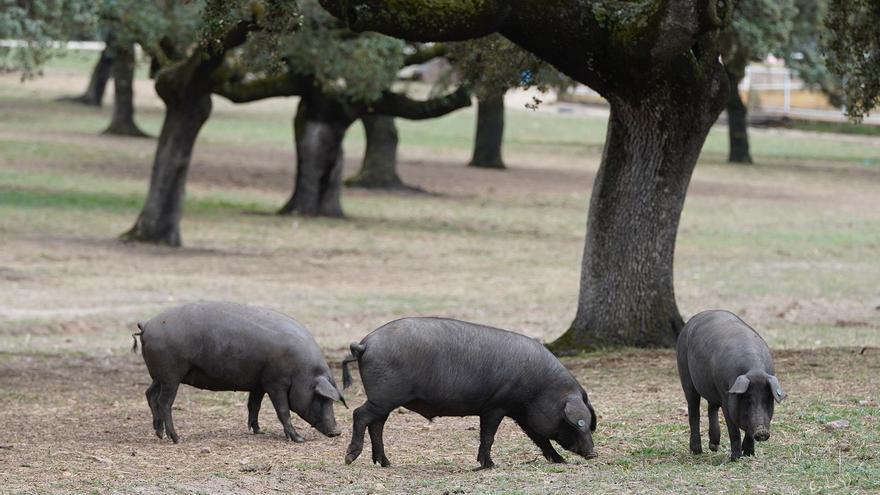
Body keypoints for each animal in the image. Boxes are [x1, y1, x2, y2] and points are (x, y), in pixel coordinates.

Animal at [134, 302, 344, 446]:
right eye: (320, 398)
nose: (337, 432)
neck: (302, 371)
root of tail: (146, 325)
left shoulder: (259, 383)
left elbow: (254, 405)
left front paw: (259, 431)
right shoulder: (276, 383)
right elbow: (282, 410)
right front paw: (299, 439)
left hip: (159, 376)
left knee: (149, 394)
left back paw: (159, 433)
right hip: (171, 376)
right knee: (164, 402)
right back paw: (177, 438)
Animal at [336, 318, 600, 468]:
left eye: (589, 423)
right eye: (576, 423)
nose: (593, 454)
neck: (539, 388)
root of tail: (365, 344)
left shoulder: (521, 414)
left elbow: (539, 438)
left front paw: (560, 461)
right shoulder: (496, 406)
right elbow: (489, 435)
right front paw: (489, 465)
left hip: (385, 399)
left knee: (376, 424)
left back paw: (385, 463)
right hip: (385, 395)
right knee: (360, 415)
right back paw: (350, 458)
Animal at [676, 310, 788, 462]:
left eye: (767, 400)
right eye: (747, 400)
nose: (762, 431)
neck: (754, 371)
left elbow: (747, 431)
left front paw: (749, 454)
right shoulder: (726, 398)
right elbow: (733, 430)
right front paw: (735, 458)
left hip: (713, 388)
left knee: (711, 408)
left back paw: (714, 447)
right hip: (686, 377)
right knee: (694, 412)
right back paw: (697, 451)